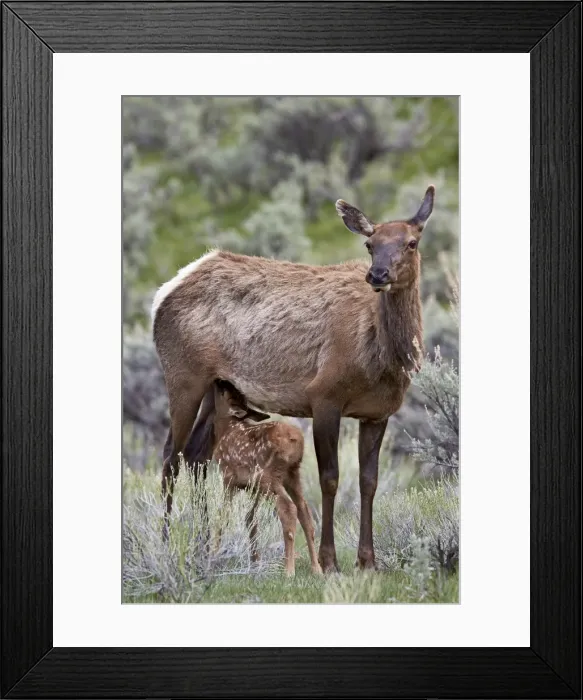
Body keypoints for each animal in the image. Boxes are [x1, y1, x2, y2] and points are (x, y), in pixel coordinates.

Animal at [211, 379, 321, 576]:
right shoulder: (252, 487)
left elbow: (223, 515)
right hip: (292, 474)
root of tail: (296, 439)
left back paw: (289, 571)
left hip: (268, 476)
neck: (225, 431)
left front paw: (213, 555)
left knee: (288, 508)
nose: (220, 380)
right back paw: (317, 569)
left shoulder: (228, 476)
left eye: (226, 391)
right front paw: (255, 561)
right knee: (304, 510)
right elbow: (250, 518)